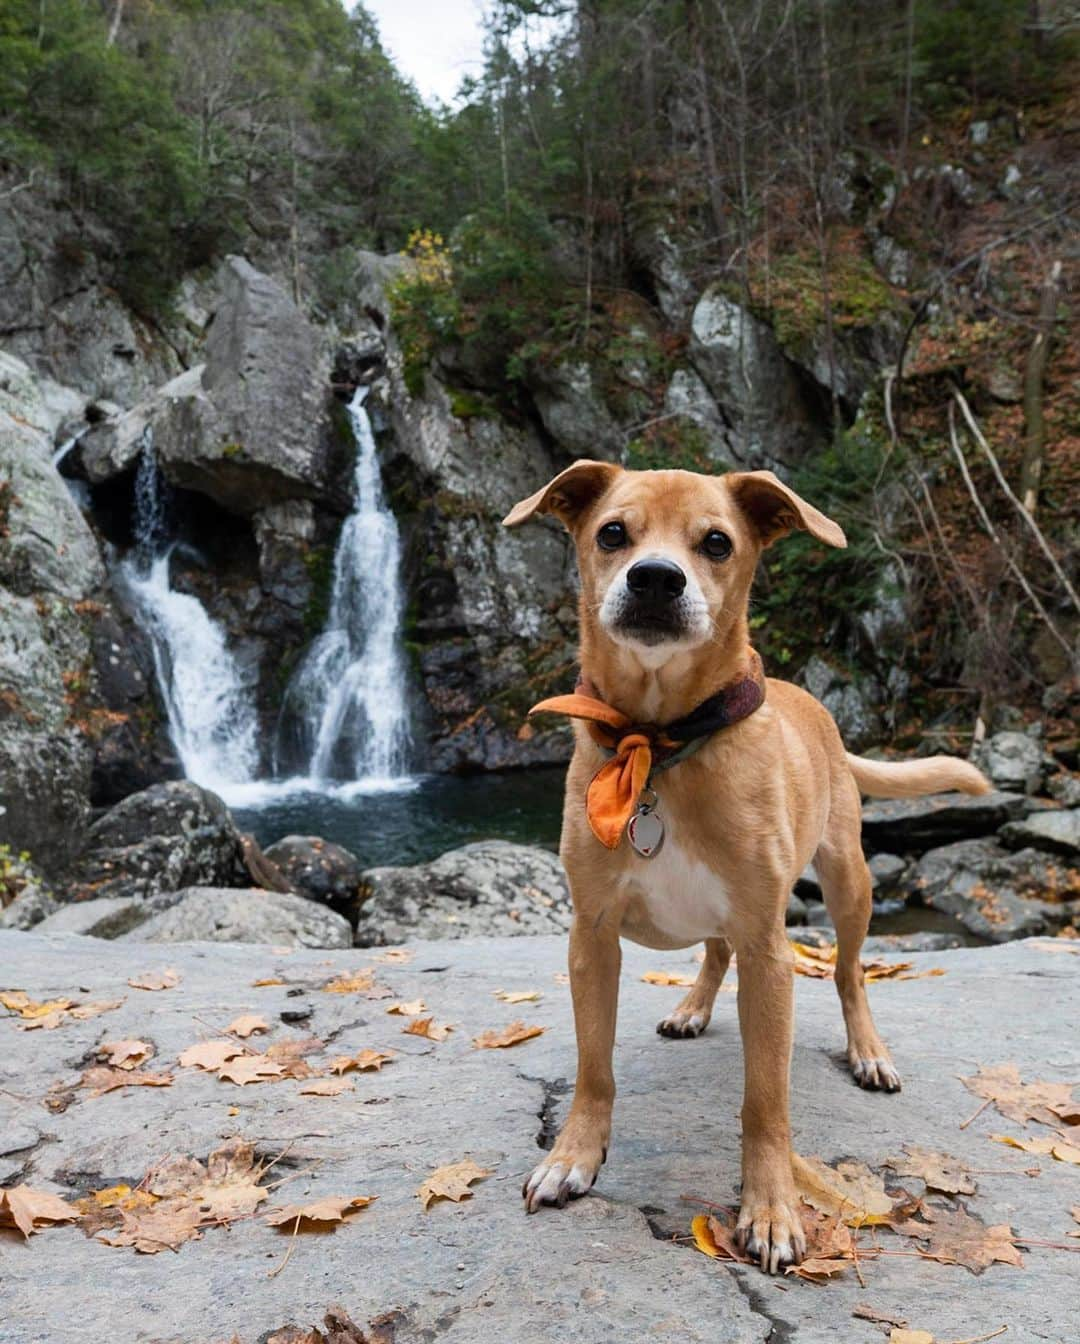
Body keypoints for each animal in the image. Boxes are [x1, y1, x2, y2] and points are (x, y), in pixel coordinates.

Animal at [502, 462, 994, 1268]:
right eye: (612, 532)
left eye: (716, 542)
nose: (656, 578)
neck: (662, 744)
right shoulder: (591, 939)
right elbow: (593, 1068)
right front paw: (573, 1155)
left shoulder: (770, 952)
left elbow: (766, 1099)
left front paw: (769, 1208)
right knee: (713, 951)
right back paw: (695, 1006)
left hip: (849, 884)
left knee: (850, 973)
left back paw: (868, 1050)